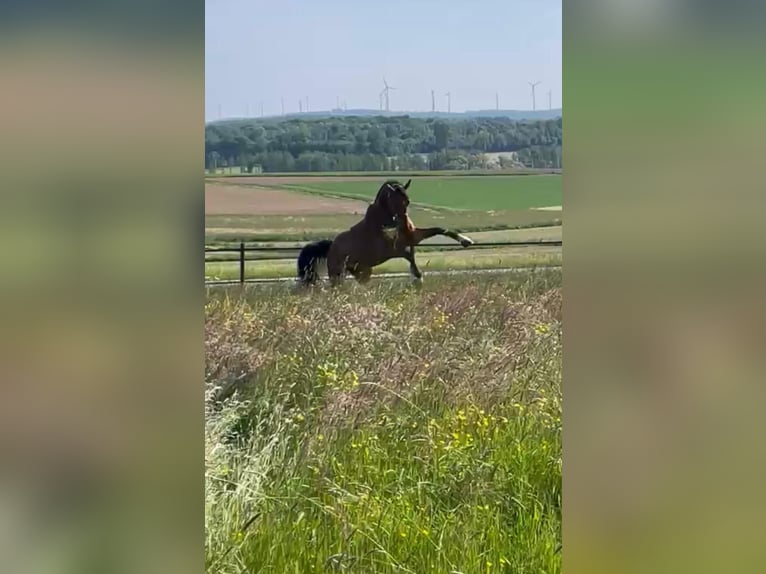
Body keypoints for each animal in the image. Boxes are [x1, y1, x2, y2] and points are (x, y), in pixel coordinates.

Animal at [296, 179, 474, 286]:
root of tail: (331, 246)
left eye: (407, 201)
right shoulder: (394, 248)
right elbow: (409, 257)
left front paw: (466, 240)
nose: (402, 223)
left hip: (362, 271)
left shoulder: (413, 237)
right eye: (393, 201)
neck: (385, 221)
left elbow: (439, 229)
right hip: (337, 273)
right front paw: (417, 278)